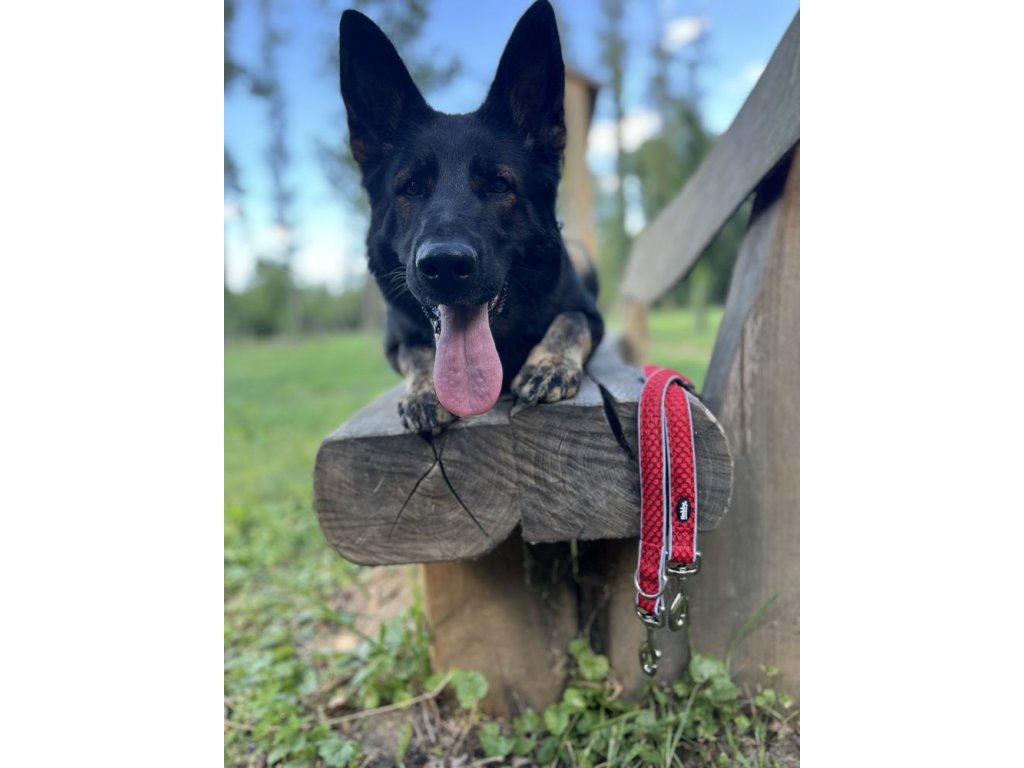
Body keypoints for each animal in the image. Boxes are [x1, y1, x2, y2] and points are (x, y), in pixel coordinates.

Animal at [338, 0, 604, 434]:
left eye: (498, 185)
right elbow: (415, 353)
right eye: (412, 187)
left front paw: (548, 364)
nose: (445, 265)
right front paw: (425, 391)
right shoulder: (396, 340)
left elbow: (570, 322)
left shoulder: (588, 313)